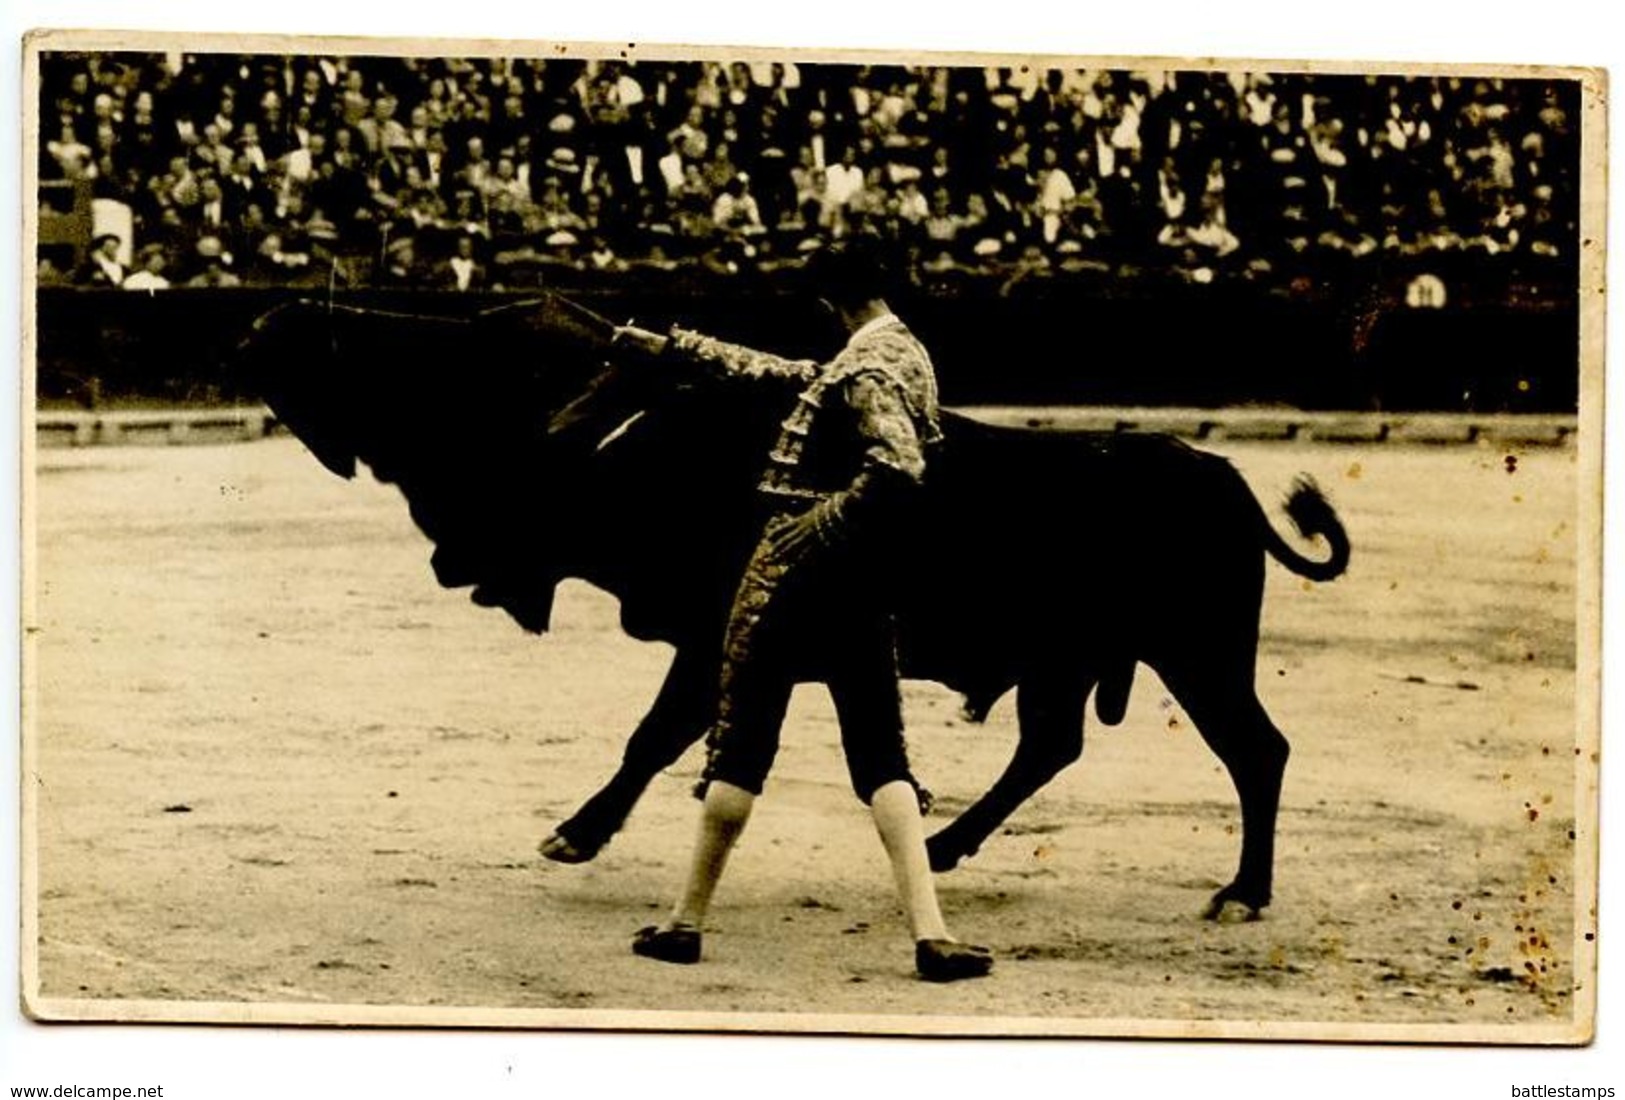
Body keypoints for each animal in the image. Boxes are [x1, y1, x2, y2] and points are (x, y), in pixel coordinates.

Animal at [240, 294, 1352, 916]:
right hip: (1070, 662)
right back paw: (943, 846)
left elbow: (657, 733)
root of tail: (1226, 481)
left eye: (487, 354)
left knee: (1255, 751)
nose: (278, 324)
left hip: (1199, 653)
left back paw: (1242, 893)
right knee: (1050, 746)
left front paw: (577, 832)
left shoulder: (707, 635)